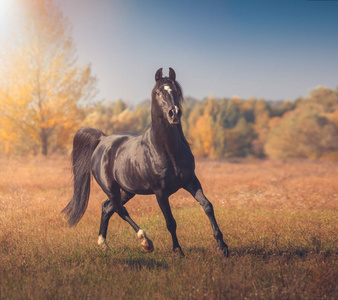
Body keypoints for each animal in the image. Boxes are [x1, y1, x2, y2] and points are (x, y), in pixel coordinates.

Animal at [62, 68, 228, 255]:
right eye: (158, 93)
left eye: (177, 91)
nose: (174, 113)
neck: (167, 151)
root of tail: (102, 140)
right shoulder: (160, 192)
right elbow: (170, 222)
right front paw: (178, 250)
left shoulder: (191, 181)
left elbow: (207, 206)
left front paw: (222, 246)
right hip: (111, 188)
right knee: (119, 210)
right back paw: (145, 241)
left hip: (127, 190)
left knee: (107, 208)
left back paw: (103, 243)